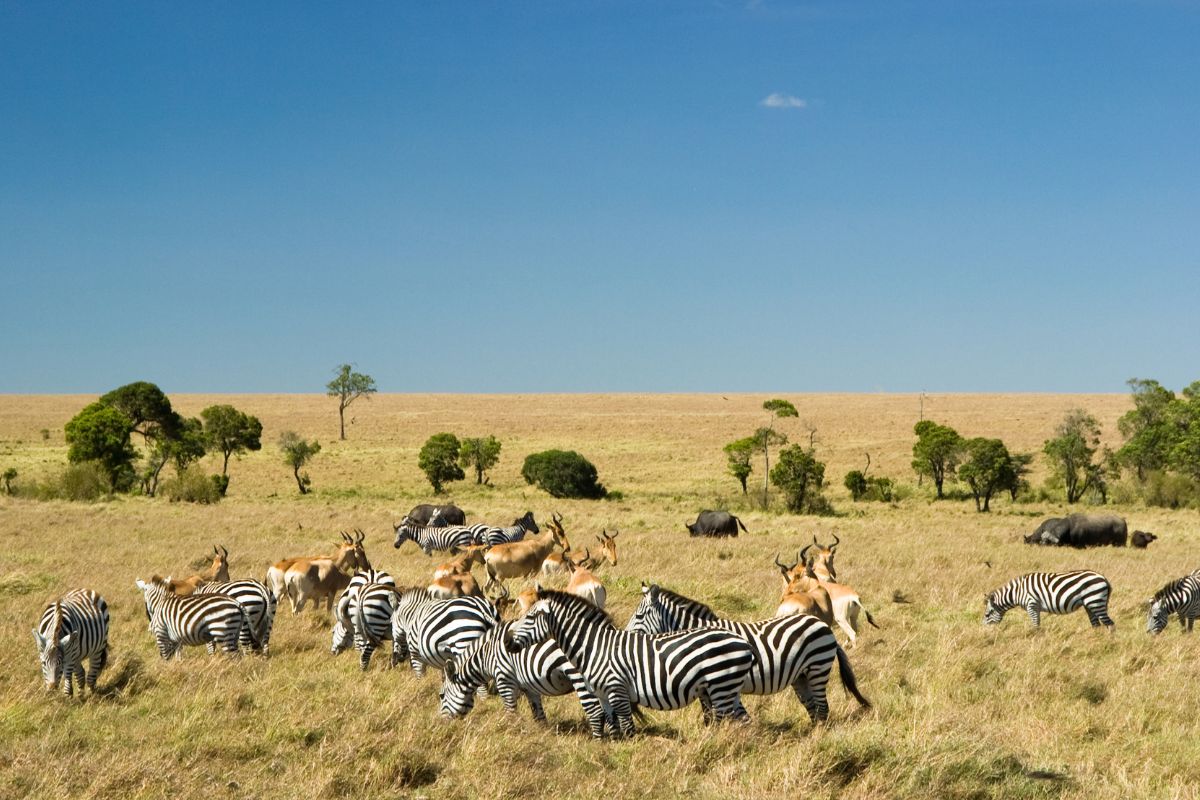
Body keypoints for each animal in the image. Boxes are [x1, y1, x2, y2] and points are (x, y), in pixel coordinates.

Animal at [439, 623, 609, 743]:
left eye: (441, 695)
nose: (440, 724)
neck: (486, 656)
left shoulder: (504, 680)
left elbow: (510, 713)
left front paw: (510, 735)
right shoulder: (529, 687)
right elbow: (538, 715)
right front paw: (543, 736)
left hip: (580, 676)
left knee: (595, 711)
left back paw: (597, 743)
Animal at [504, 587, 748, 738]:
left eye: (530, 617)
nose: (506, 641)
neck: (594, 646)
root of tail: (743, 642)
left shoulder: (617, 690)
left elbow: (627, 728)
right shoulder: (603, 694)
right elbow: (611, 726)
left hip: (721, 686)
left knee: (727, 722)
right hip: (720, 689)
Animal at [624, 582, 868, 724]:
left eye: (639, 616)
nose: (624, 635)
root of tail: (822, 625)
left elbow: (718, 716)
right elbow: (714, 716)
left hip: (818, 666)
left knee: (822, 707)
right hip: (801, 675)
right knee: (814, 708)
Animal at [984, 568, 1113, 633]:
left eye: (987, 615)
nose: (984, 631)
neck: (1018, 592)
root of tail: (1104, 578)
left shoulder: (1032, 604)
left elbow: (1035, 625)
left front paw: (1035, 639)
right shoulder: (1035, 607)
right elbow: (1037, 624)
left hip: (1095, 601)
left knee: (1110, 624)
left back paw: (1109, 643)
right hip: (1090, 604)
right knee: (1096, 625)